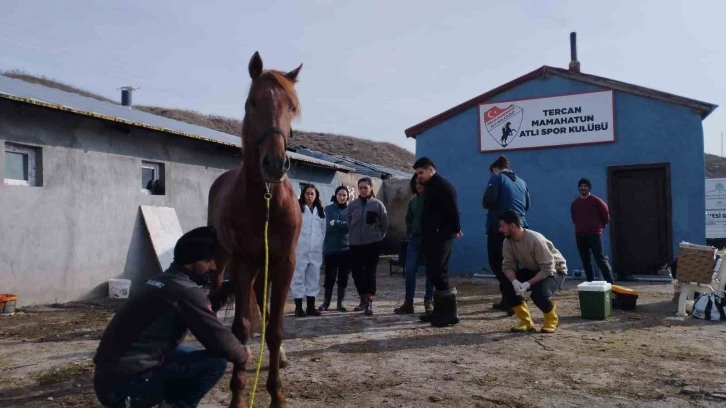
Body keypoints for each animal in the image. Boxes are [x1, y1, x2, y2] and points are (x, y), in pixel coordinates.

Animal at [209, 51, 302, 408]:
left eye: (292, 106)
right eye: (251, 103)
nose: (275, 164)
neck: (265, 202)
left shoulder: (284, 263)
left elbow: (275, 329)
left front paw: (277, 394)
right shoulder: (243, 263)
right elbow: (241, 326)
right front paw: (237, 395)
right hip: (225, 259)